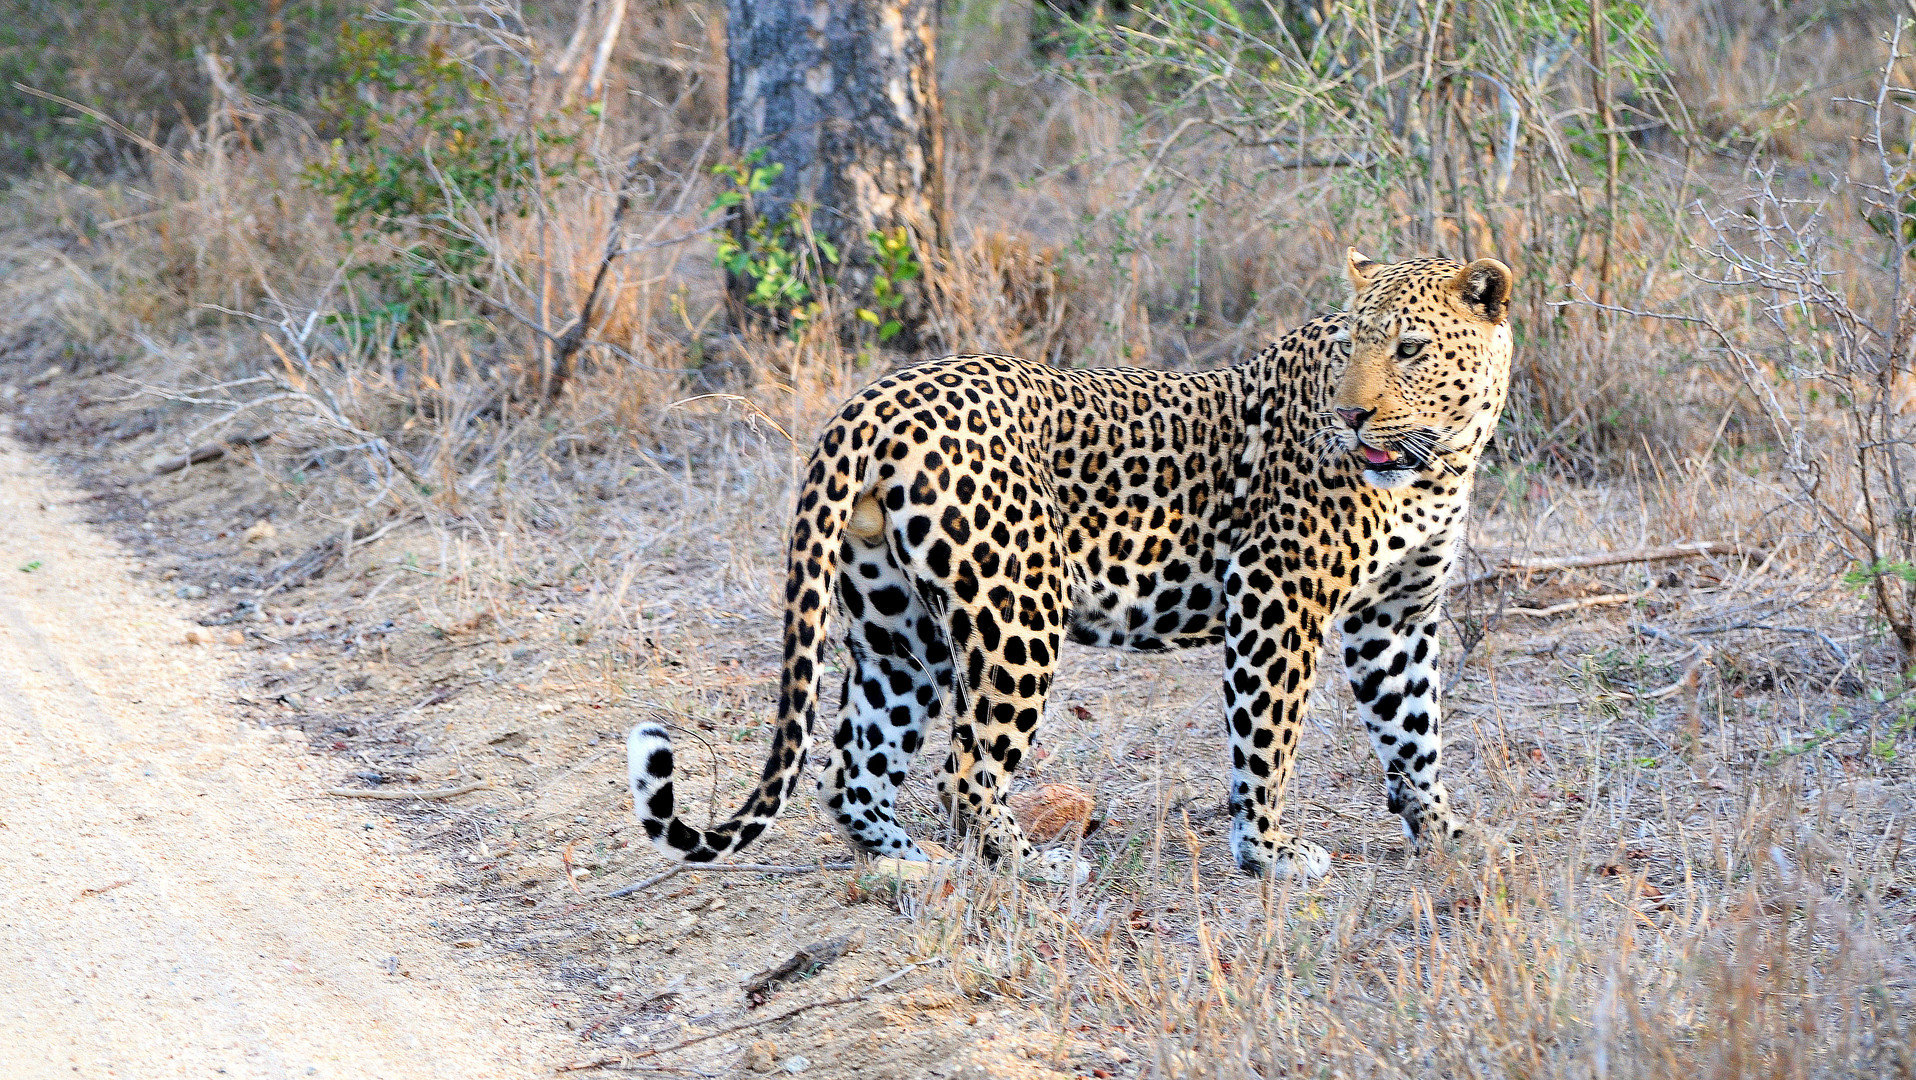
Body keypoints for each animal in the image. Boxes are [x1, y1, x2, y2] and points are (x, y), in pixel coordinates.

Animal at [628, 250, 1509, 877]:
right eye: (1352, 346)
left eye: (1410, 348)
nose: (1351, 414)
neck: (1439, 464)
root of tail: (871, 402)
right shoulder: (1276, 597)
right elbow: (1268, 739)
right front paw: (1269, 853)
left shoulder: (1395, 618)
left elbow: (1415, 732)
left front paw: (1448, 834)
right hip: (1016, 614)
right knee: (963, 770)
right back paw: (1033, 867)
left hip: (896, 628)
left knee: (853, 769)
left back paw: (913, 865)